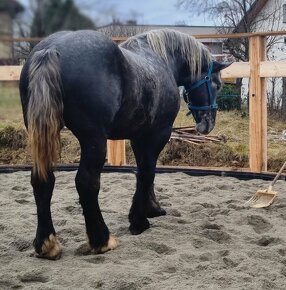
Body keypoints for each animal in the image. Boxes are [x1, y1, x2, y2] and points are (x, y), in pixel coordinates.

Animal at [19, 29, 229, 260]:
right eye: (217, 84)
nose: (208, 123)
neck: (161, 59)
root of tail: (51, 49)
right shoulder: (158, 133)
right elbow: (147, 172)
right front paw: (139, 221)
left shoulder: (139, 136)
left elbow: (144, 172)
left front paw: (151, 208)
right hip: (93, 139)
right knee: (86, 182)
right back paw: (101, 240)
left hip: (42, 135)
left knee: (42, 180)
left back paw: (46, 244)